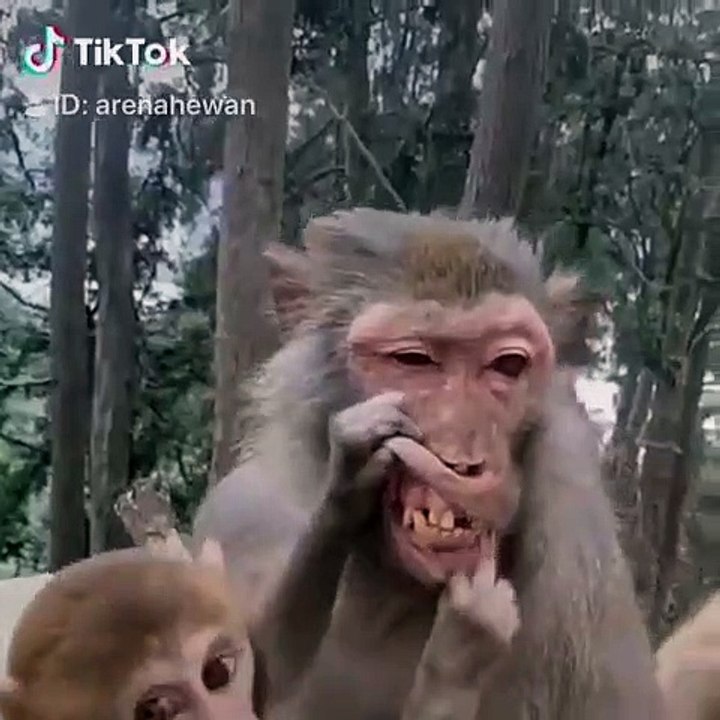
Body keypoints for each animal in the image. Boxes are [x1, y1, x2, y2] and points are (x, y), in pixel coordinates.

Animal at [193, 209, 663, 720]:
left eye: (507, 365)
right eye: (414, 360)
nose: (463, 457)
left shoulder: (581, 555)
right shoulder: (244, 512)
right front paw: (349, 476)